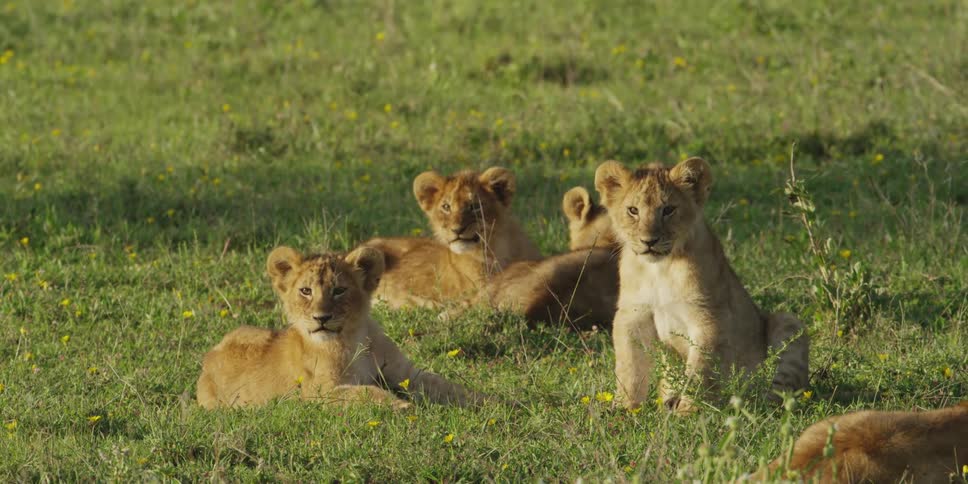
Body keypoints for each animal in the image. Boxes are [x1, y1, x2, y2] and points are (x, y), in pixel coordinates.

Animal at [196, 246, 484, 409]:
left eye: (339, 290)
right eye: (306, 291)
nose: (321, 318)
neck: (352, 337)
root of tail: (208, 359)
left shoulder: (407, 374)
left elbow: (447, 386)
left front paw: (489, 401)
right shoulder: (319, 393)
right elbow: (366, 393)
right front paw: (405, 407)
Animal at [594, 158, 809, 413]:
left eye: (668, 210)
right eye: (633, 210)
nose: (649, 241)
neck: (660, 269)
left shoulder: (708, 317)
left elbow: (700, 371)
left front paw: (688, 411)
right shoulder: (633, 314)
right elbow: (630, 366)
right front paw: (625, 407)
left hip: (788, 321)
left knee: (782, 389)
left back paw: (748, 400)